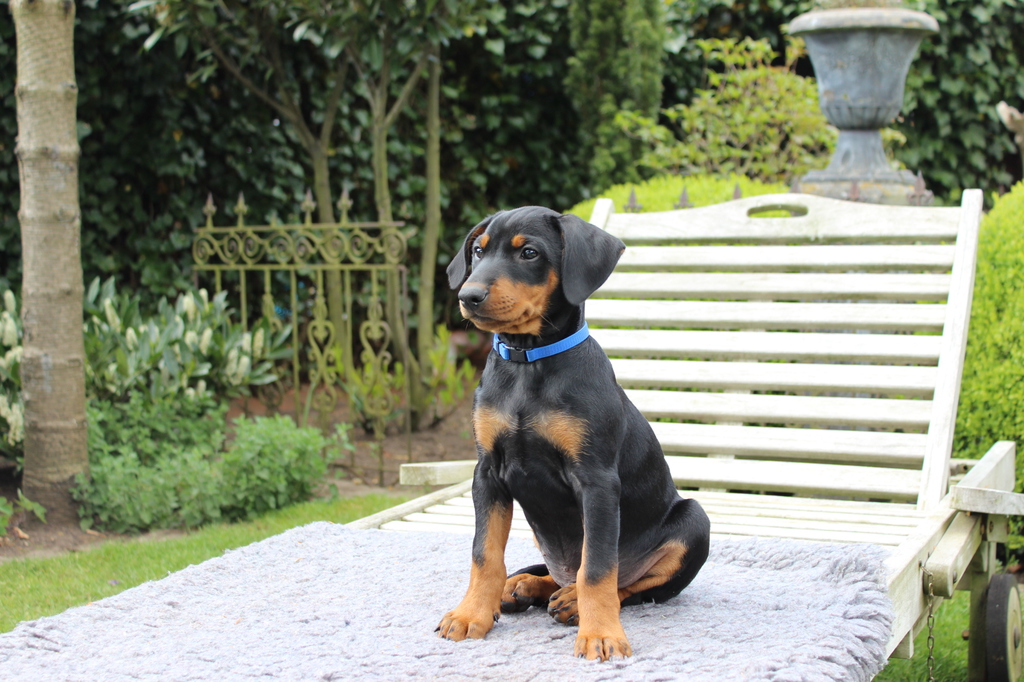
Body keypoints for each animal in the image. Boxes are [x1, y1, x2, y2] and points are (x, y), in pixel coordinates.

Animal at [438, 206, 710, 661]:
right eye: (478, 251)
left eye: (529, 252)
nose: (468, 296)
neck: (528, 361)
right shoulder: (487, 472)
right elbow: (484, 553)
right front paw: (471, 613)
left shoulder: (596, 480)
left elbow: (598, 567)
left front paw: (600, 634)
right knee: (562, 571)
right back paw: (523, 585)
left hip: (694, 521)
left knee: (627, 583)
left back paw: (571, 603)